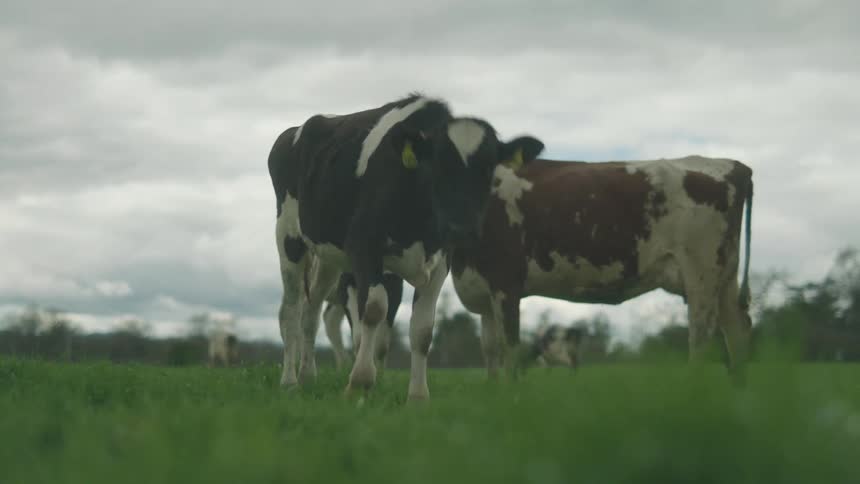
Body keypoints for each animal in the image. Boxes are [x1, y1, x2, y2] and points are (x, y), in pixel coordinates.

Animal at [267, 93, 544, 400]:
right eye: (439, 165)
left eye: (488, 169)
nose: (462, 229)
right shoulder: (364, 249)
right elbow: (373, 311)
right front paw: (359, 382)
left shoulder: (440, 261)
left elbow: (423, 330)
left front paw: (418, 396)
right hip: (289, 238)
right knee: (291, 311)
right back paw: (289, 382)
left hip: (327, 257)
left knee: (311, 312)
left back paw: (307, 377)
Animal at [450, 155, 754, 383]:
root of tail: (733, 165)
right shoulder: (483, 292)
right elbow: (490, 351)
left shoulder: (505, 283)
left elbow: (509, 349)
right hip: (724, 278)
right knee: (736, 330)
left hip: (701, 275)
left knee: (702, 335)